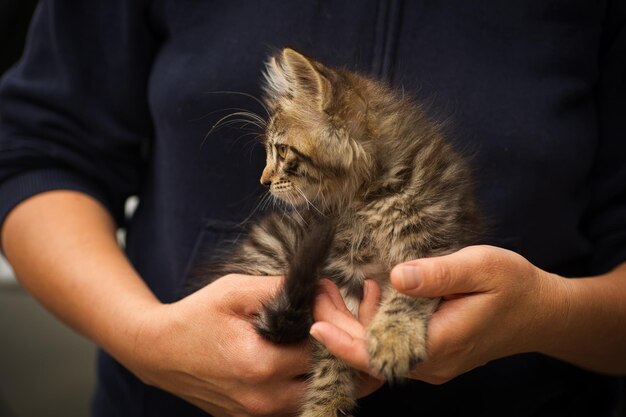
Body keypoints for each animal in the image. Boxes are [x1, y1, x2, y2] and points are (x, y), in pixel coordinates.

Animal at [197, 48, 480, 416]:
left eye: (282, 150)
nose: (264, 181)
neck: (372, 196)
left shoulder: (433, 244)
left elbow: (410, 294)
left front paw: (394, 337)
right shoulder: (342, 272)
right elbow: (331, 362)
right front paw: (325, 405)